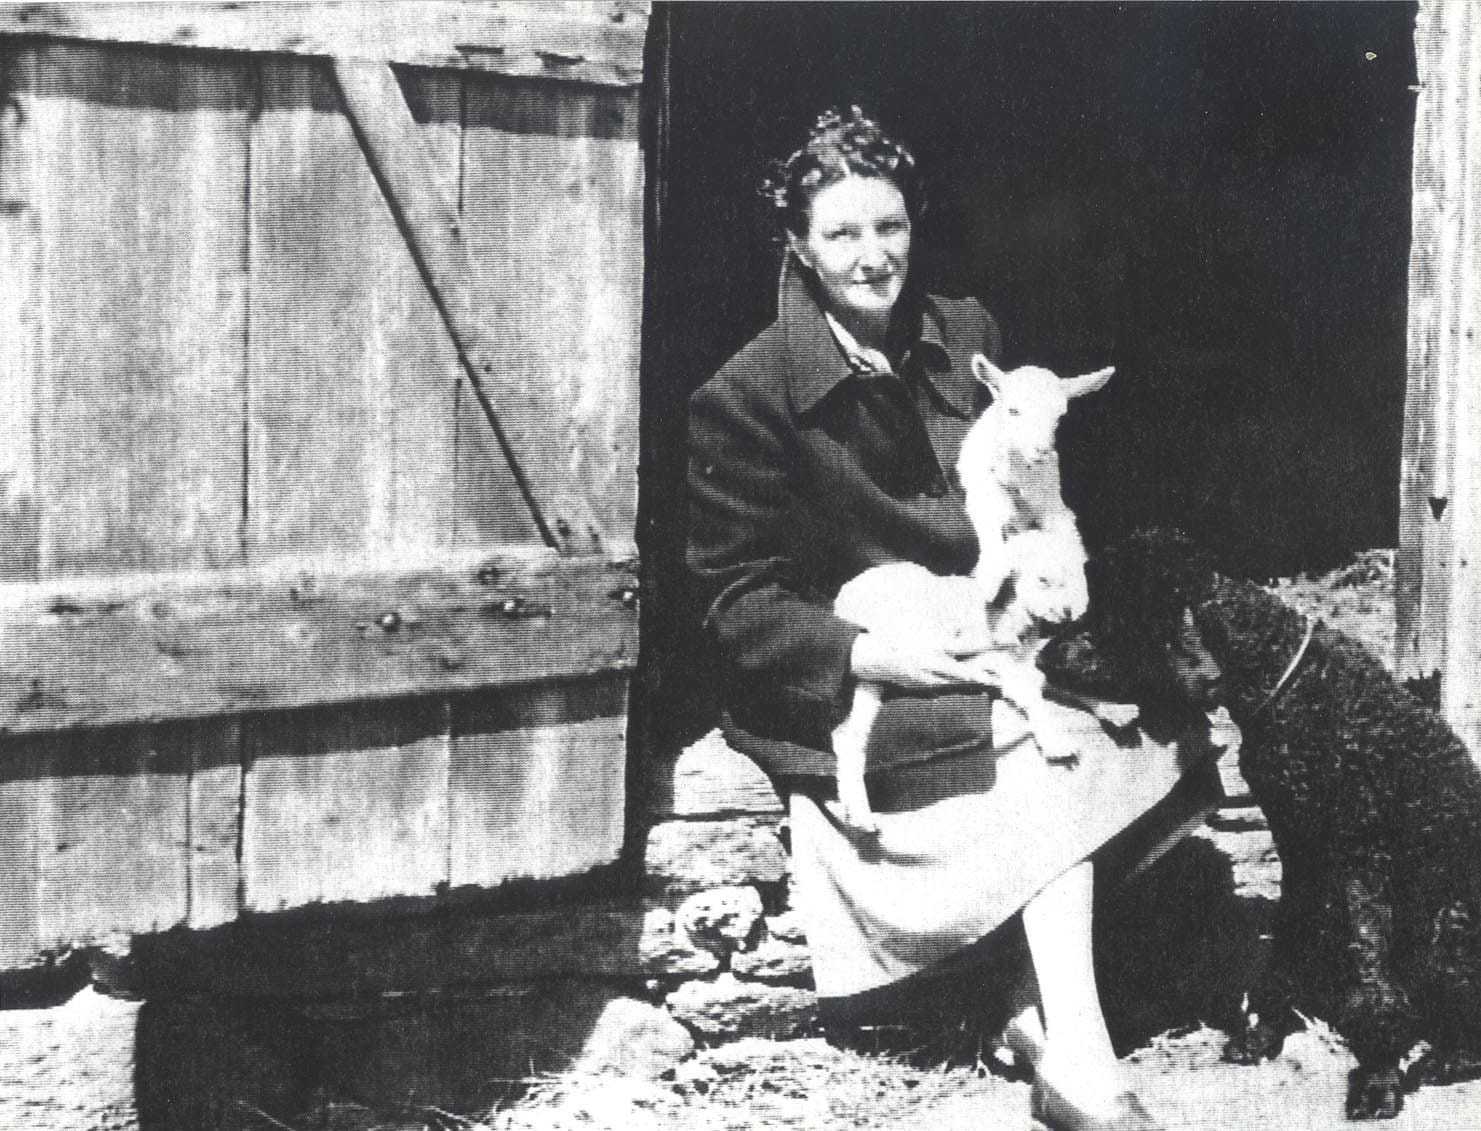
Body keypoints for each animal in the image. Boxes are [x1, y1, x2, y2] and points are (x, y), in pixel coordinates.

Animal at [829, 355, 1125, 840]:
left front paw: (1114, 707)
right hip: (897, 648)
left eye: (1061, 417)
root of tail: (843, 596)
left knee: (851, 735)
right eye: (1042, 581)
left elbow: (1049, 675)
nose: (1068, 614)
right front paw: (1057, 740)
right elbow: (1030, 687)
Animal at [1036, 529, 1481, 1125]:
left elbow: (1372, 977)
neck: (1285, 681)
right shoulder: (1301, 852)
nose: (1041, 656)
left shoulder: (1362, 860)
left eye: (1113, 615)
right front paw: (1264, 1032)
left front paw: (1378, 1078)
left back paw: (1443, 1059)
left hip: (1445, 929)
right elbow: (1286, 949)